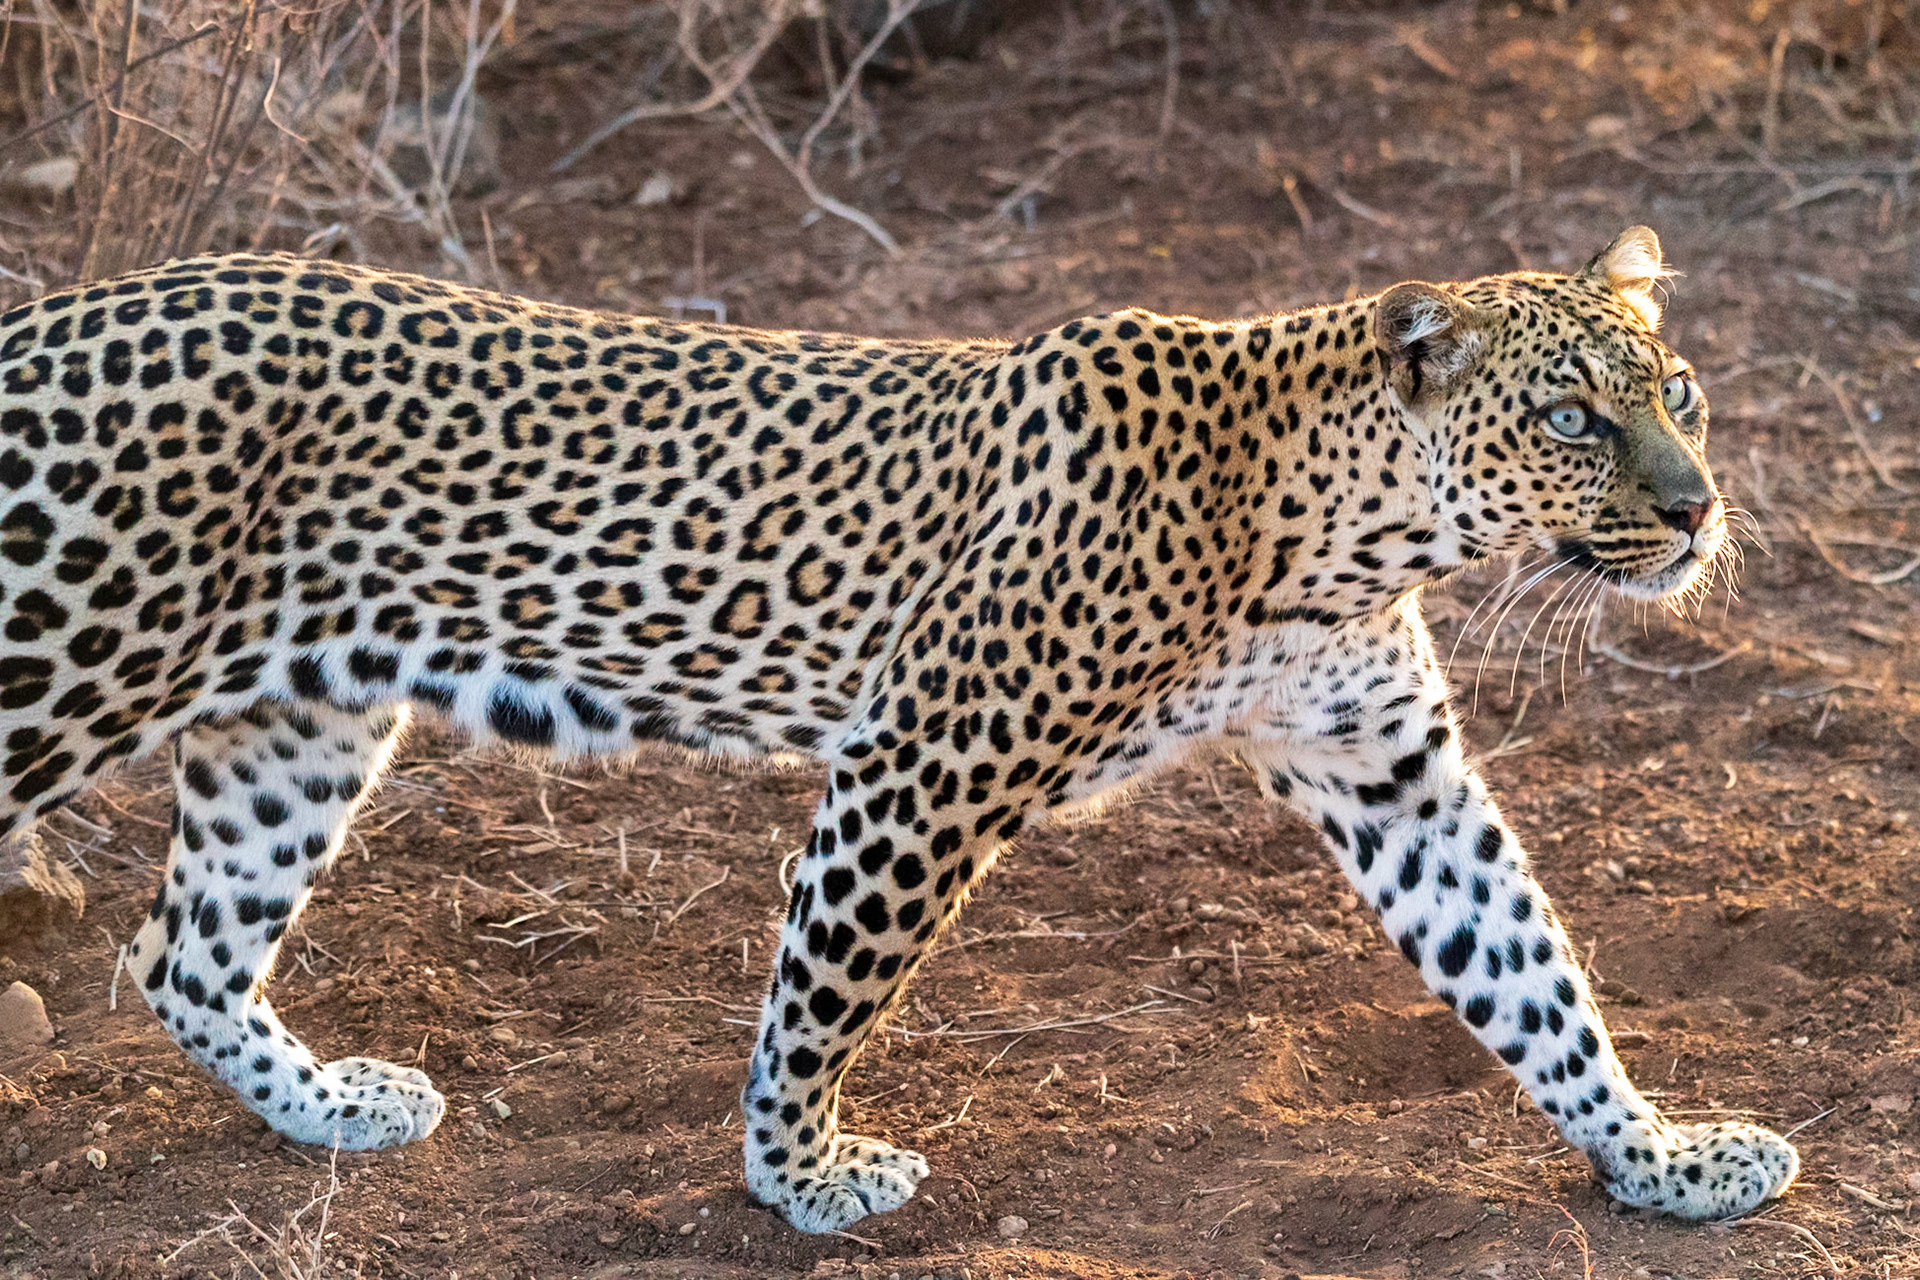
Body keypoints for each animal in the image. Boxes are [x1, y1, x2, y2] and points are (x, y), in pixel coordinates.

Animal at [0, 225, 1798, 1232]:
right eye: (1569, 416)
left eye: (1676, 393)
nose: (1695, 511)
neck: (1341, 528)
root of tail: (52, 318)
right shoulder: (925, 756)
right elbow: (826, 990)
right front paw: (796, 1177)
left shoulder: (1391, 769)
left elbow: (1528, 972)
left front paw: (1658, 1158)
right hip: (53, 665)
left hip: (294, 723)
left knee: (180, 952)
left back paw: (329, 1107)